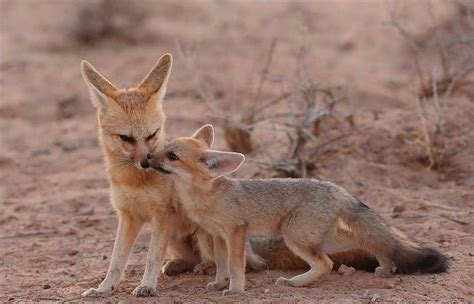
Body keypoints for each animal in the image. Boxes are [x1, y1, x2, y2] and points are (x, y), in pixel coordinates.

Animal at [78, 52, 400, 296]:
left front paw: (146, 286)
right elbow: (117, 260)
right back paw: (183, 266)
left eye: (152, 136)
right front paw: (104, 288)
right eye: (126, 138)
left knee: (251, 262)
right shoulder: (128, 216)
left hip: (210, 234)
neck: (133, 180)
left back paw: (209, 269)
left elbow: (150, 256)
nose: (146, 162)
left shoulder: (162, 214)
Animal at [151, 123, 448, 294]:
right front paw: (219, 283)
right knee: (369, 240)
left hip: (296, 238)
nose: (147, 158)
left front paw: (234, 290)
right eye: (163, 149)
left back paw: (294, 283)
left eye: (172, 156)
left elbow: (236, 265)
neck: (205, 196)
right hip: (320, 238)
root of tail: (334, 187)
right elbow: (221, 264)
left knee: (327, 263)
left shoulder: (236, 231)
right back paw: (385, 267)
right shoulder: (215, 235)